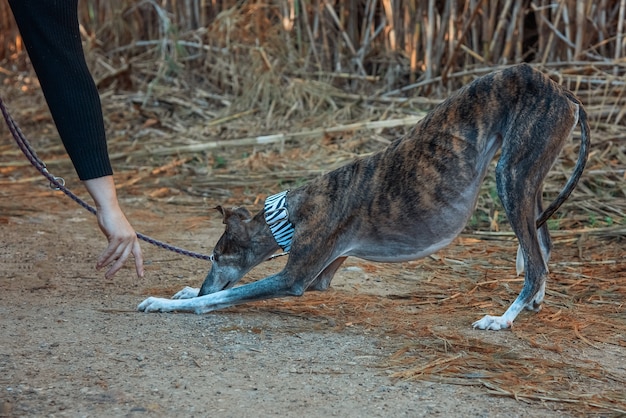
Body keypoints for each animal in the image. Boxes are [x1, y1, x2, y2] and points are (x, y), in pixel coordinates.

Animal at [139, 63, 588, 330]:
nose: (201, 286)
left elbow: (225, 295)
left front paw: (169, 302)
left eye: (216, 256)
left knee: (535, 263)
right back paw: (533, 302)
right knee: (542, 245)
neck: (291, 213)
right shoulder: (324, 271)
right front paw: (185, 291)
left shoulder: (294, 278)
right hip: (528, 175)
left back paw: (502, 318)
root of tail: (563, 90)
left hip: (510, 174)